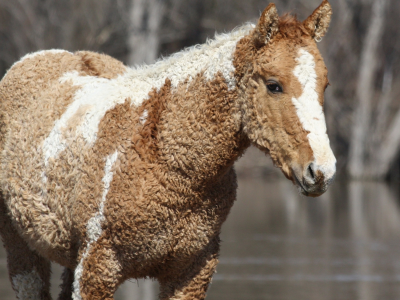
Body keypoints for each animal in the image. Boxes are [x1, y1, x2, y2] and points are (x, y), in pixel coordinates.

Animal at [0, 1, 336, 298]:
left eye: (325, 85)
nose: (321, 170)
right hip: (23, 251)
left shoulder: (191, 271)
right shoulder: (97, 268)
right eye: (273, 85)